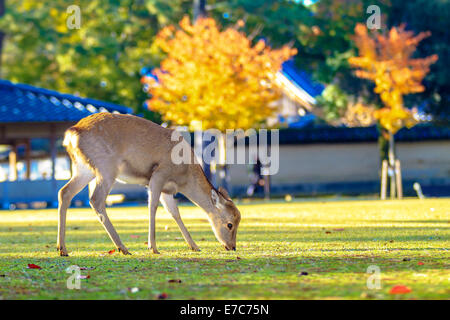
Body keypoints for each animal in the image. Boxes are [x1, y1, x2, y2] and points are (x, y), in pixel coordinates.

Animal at [57, 112, 241, 255]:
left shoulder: (168, 190)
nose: (232, 247)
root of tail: (71, 134)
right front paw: (153, 247)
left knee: (64, 192)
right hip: (106, 167)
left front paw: (194, 246)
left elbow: (175, 213)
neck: (184, 177)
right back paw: (123, 248)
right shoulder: (159, 174)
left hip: (83, 169)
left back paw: (62, 249)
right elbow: (152, 206)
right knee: (96, 199)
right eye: (230, 224)